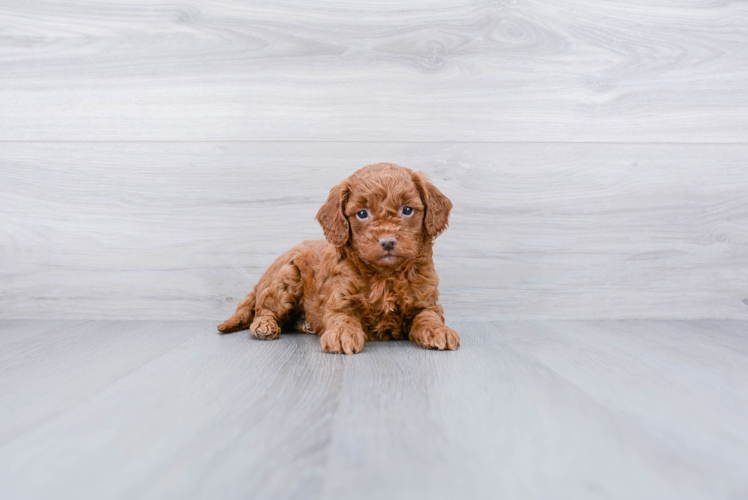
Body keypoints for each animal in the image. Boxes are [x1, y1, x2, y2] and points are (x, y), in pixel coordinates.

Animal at [216, 162, 458, 354]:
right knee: (264, 309)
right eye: (362, 213)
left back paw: (306, 324)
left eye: (407, 210)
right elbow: (343, 315)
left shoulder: (426, 300)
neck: (385, 276)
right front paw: (342, 334)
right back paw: (265, 326)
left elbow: (429, 316)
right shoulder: (339, 295)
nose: (388, 242)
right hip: (286, 278)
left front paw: (440, 331)